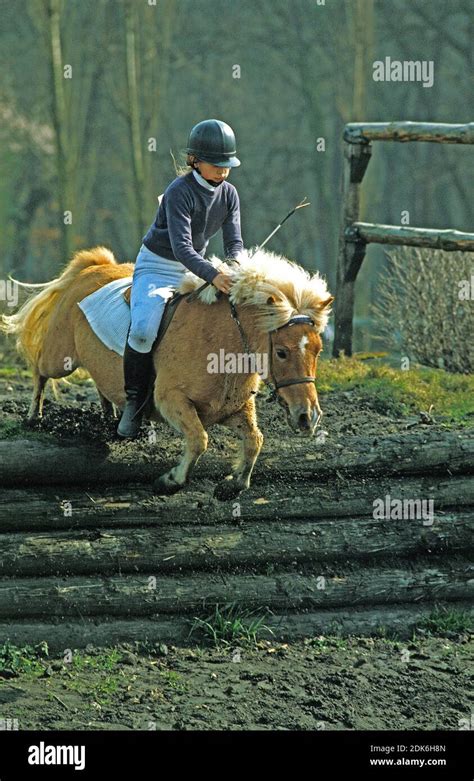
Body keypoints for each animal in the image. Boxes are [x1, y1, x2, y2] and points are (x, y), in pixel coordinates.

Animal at [1, 247, 334, 496]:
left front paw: (233, 485)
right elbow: (199, 439)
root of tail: (92, 268)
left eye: (318, 350)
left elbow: (255, 440)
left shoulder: (233, 410)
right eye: (282, 352)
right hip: (61, 358)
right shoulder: (171, 400)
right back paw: (34, 416)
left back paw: (112, 416)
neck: (221, 342)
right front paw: (171, 480)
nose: (308, 417)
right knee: (40, 369)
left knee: (100, 384)